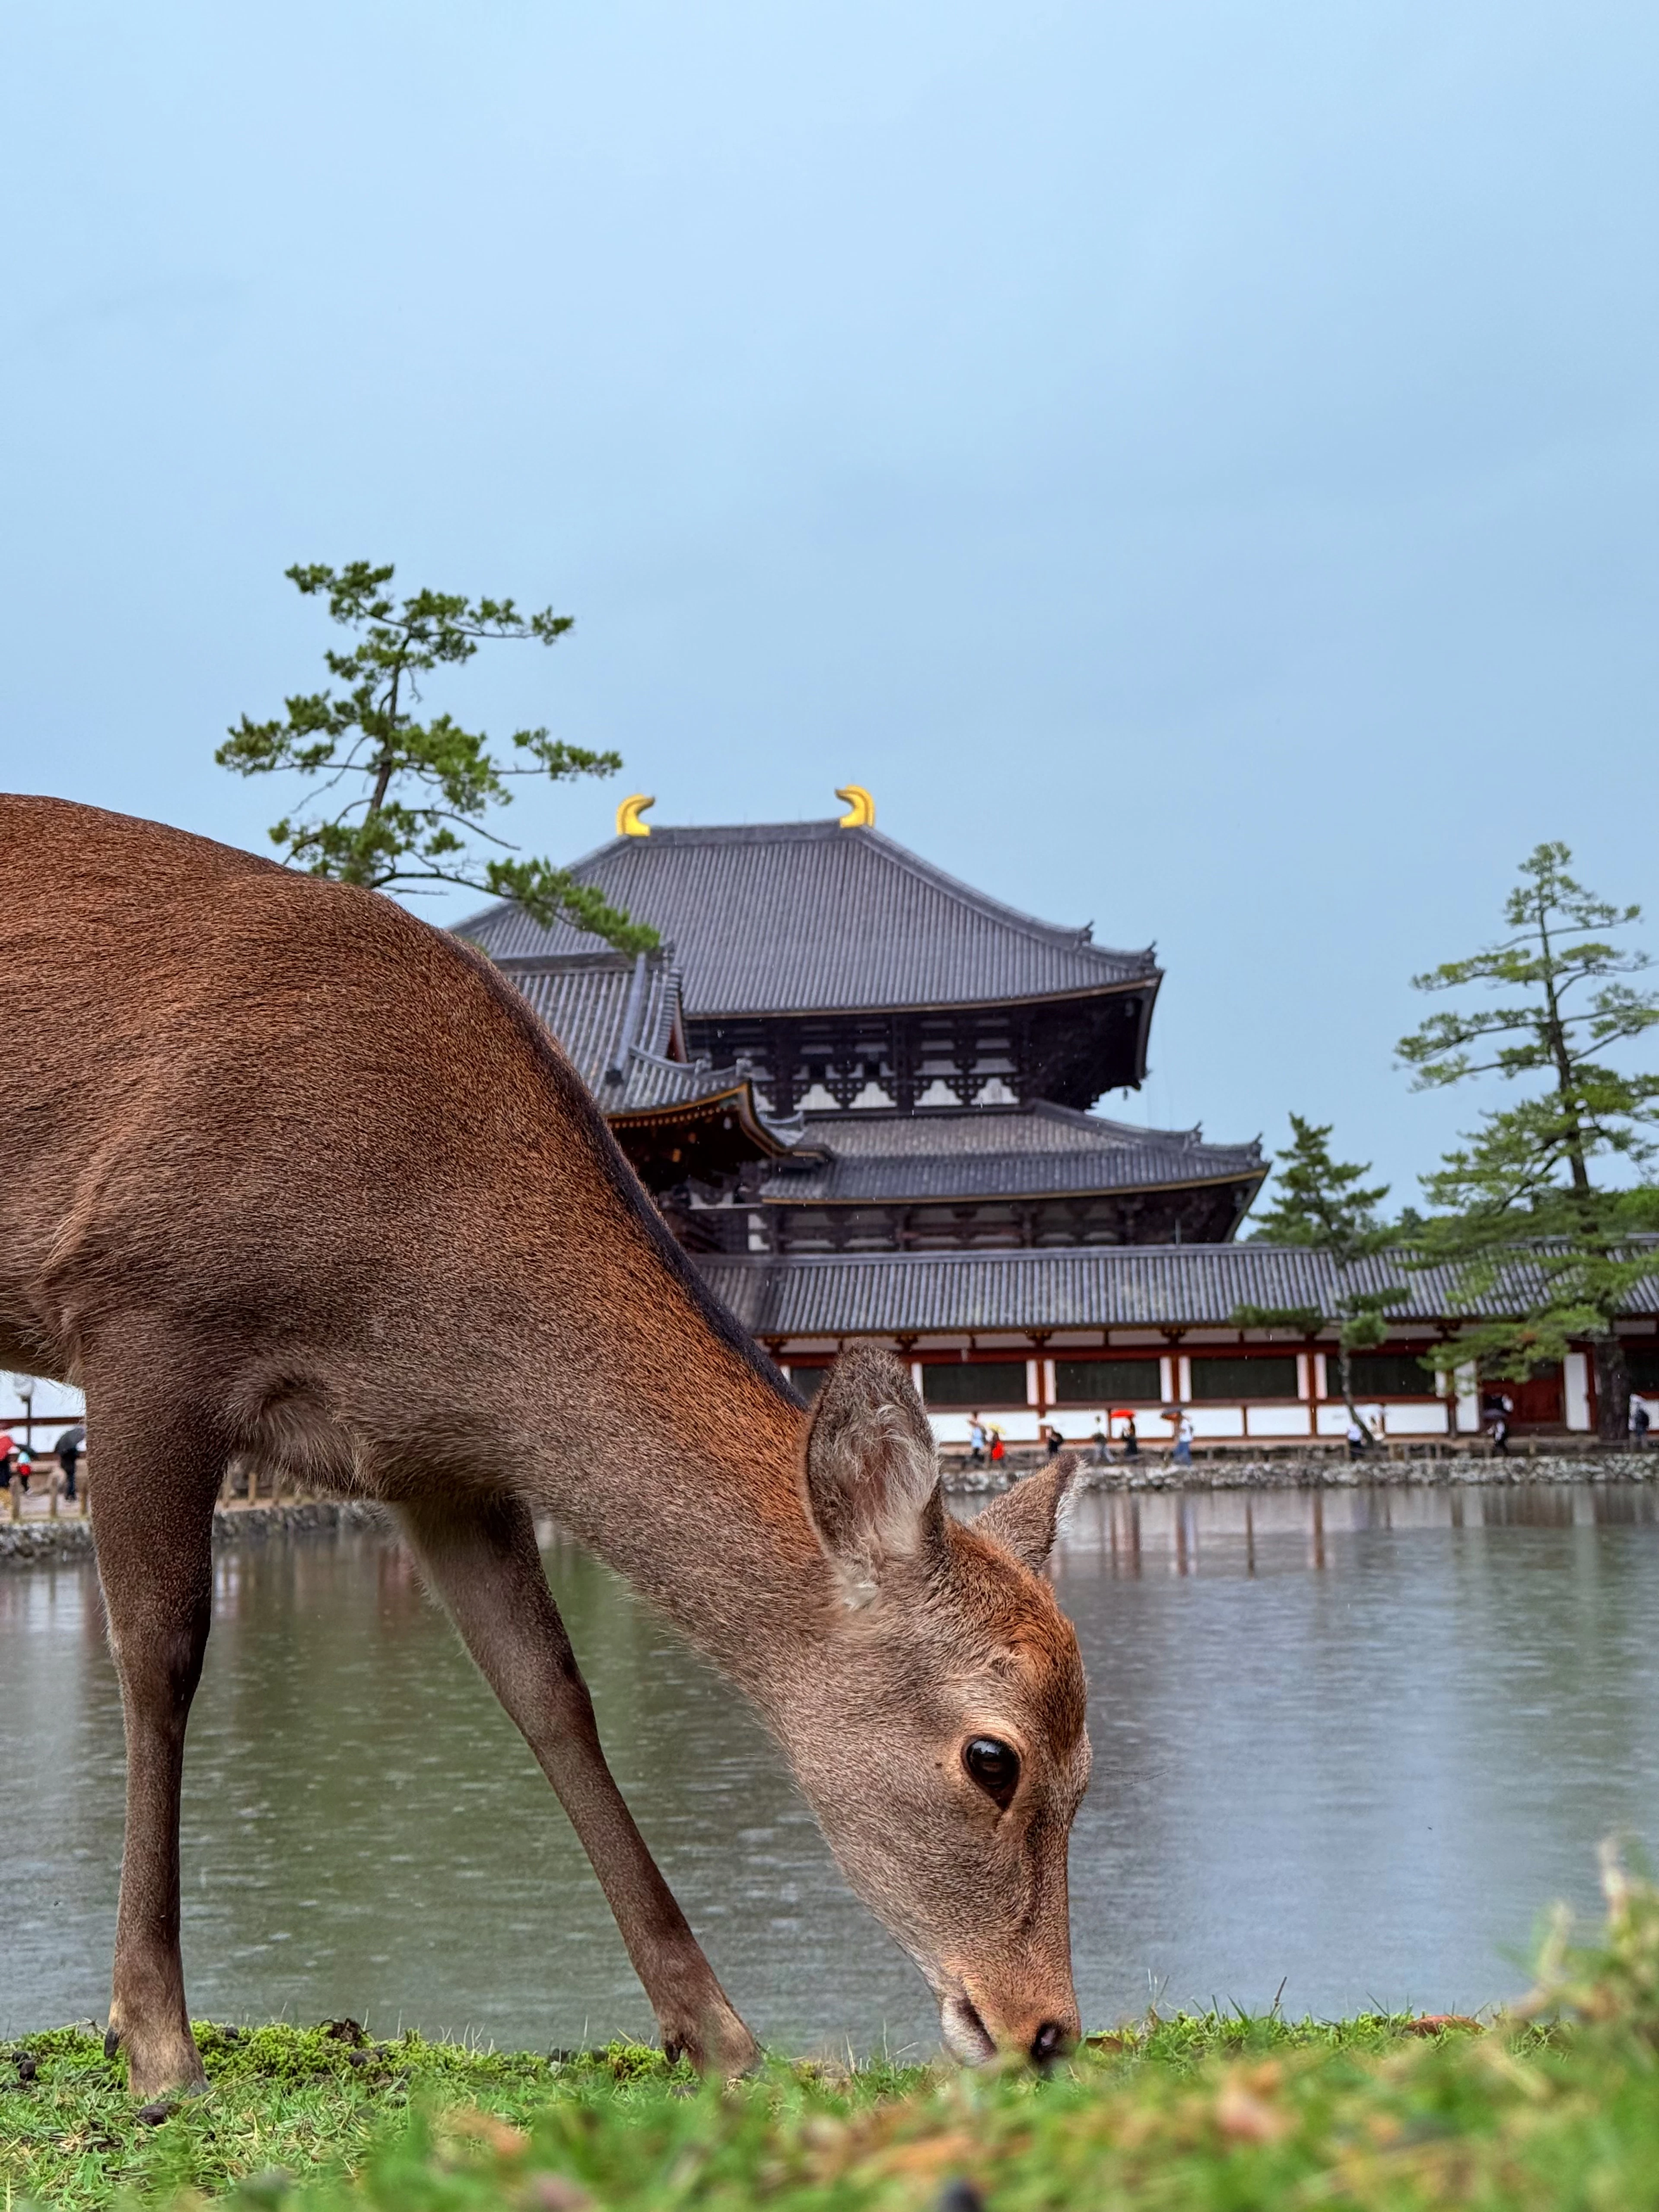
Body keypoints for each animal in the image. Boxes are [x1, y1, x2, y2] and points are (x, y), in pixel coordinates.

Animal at [0, 794, 1090, 2100]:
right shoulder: (142, 1318)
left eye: (1090, 1767)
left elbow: (550, 1691)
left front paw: (717, 2031)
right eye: (993, 1757)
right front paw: (157, 2042)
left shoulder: (432, 1464)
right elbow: (160, 1654)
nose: (1045, 2028)